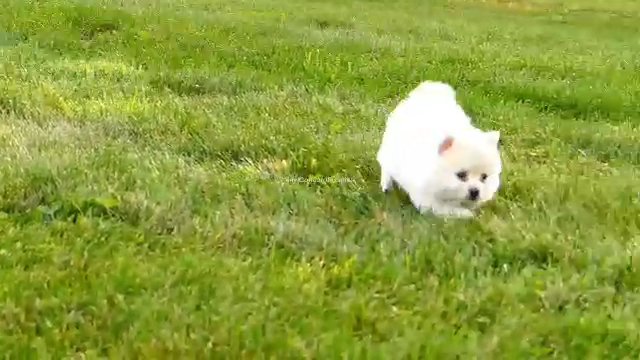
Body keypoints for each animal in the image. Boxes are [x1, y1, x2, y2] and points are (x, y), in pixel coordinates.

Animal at [378, 80, 502, 218]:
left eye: (484, 177)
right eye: (461, 175)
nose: (475, 191)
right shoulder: (427, 199)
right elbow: (448, 209)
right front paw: (468, 215)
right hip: (390, 150)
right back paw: (386, 186)